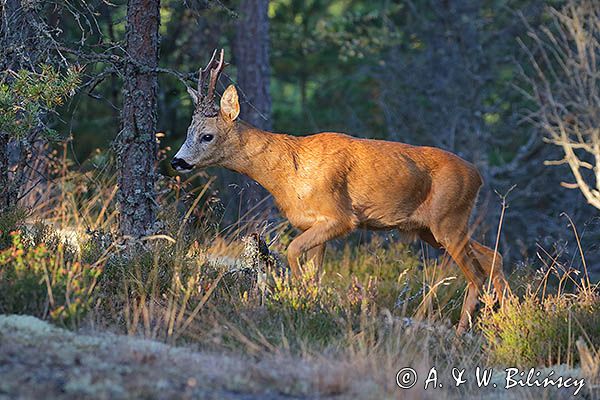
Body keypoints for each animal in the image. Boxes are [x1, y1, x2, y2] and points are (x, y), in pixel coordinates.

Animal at [172, 50, 506, 332]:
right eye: (188, 131)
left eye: (206, 135)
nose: (177, 161)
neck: (287, 172)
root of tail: (477, 176)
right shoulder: (312, 223)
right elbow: (314, 271)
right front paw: (311, 304)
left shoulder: (341, 217)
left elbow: (293, 252)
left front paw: (298, 298)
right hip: (432, 229)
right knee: (494, 257)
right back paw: (505, 315)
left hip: (448, 220)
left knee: (476, 274)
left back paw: (465, 331)